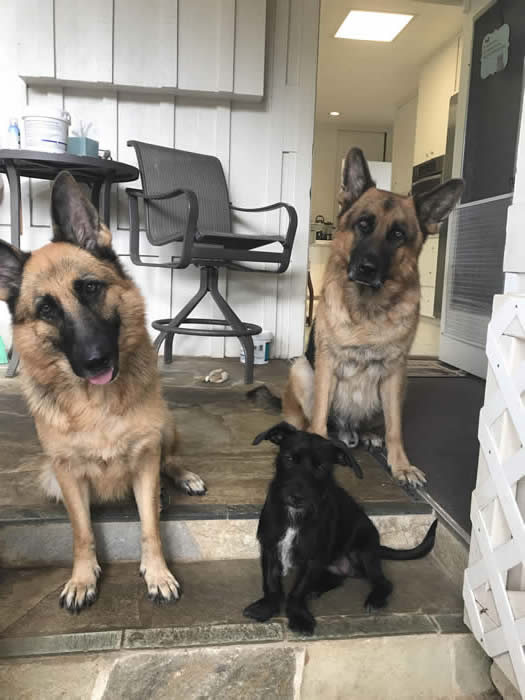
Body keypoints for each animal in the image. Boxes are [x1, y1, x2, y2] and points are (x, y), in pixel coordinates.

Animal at [0, 172, 206, 611]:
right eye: (46, 310)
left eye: (90, 288)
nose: (96, 361)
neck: (97, 406)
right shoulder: (66, 476)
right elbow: (82, 532)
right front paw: (82, 578)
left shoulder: (145, 460)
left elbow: (150, 527)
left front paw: (157, 573)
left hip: (165, 426)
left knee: (170, 459)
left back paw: (181, 479)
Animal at [243, 422, 437, 635]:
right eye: (289, 459)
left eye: (321, 467)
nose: (296, 497)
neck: (295, 515)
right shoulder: (270, 546)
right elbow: (271, 583)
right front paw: (266, 607)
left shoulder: (313, 557)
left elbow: (298, 590)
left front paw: (298, 615)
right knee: (337, 579)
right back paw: (316, 589)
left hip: (363, 550)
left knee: (383, 582)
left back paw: (375, 599)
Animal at [251, 148, 464, 487]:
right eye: (363, 225)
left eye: (398, 235)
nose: (366, 268)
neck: (367, 310)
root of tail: (346, 431)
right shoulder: (327, 365)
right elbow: (319, 420)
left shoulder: (395, 372)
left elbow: (395, 429)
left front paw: (401, 465)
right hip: (301, 369)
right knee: (307, 421)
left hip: (402, 385)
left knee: (376, 425)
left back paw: (368, 436)